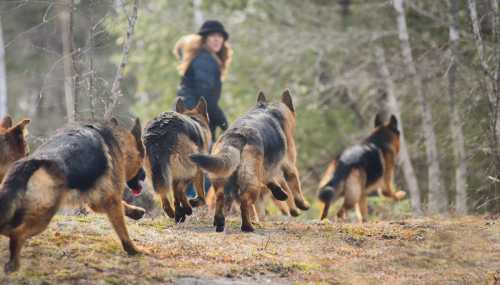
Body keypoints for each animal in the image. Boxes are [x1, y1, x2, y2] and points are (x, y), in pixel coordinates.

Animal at [0, 117, 145, 270]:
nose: (145, 175)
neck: (117, 140)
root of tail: (31, 162)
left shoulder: (98, 199)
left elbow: (119, 206)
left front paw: (135, 212)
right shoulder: (111, 198)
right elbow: (122, 229)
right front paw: (133, 250)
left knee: (8, 228)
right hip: (42, 218)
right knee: (17, 233)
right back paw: (14, 263)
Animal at [190, 90, 308, 232]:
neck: (269, 109)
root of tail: (237, 137)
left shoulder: (266, 169)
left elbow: (271, 181)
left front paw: (280, 193)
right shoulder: (289, 165)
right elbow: (295, 186)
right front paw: (302, 204)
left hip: (223, 178)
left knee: (220, 198)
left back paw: (220, 221)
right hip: (251, 184)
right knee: (244, 202)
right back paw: (248, 226)